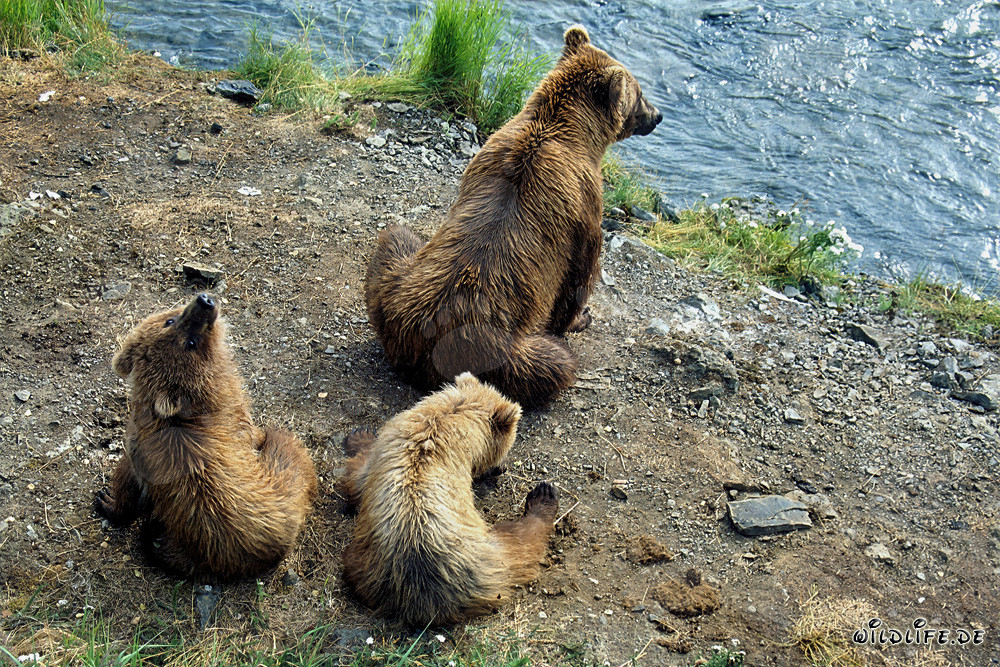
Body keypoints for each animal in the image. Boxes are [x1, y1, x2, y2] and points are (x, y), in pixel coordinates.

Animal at [340, 372, 559, 627]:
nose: (501, 468)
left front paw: (359, 435)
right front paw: (361, 434)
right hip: (483, 553)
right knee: (521, 540)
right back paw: (543, 496)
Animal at [364, 25, 662, 407]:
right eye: (639, 93)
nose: (658, 115)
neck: (571, 133)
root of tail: (421, 341)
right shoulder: (584, 202)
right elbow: (581, 270)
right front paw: (580, 318)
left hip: (394, 284)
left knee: (396, 236)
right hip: (503, 354)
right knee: (555, 363)